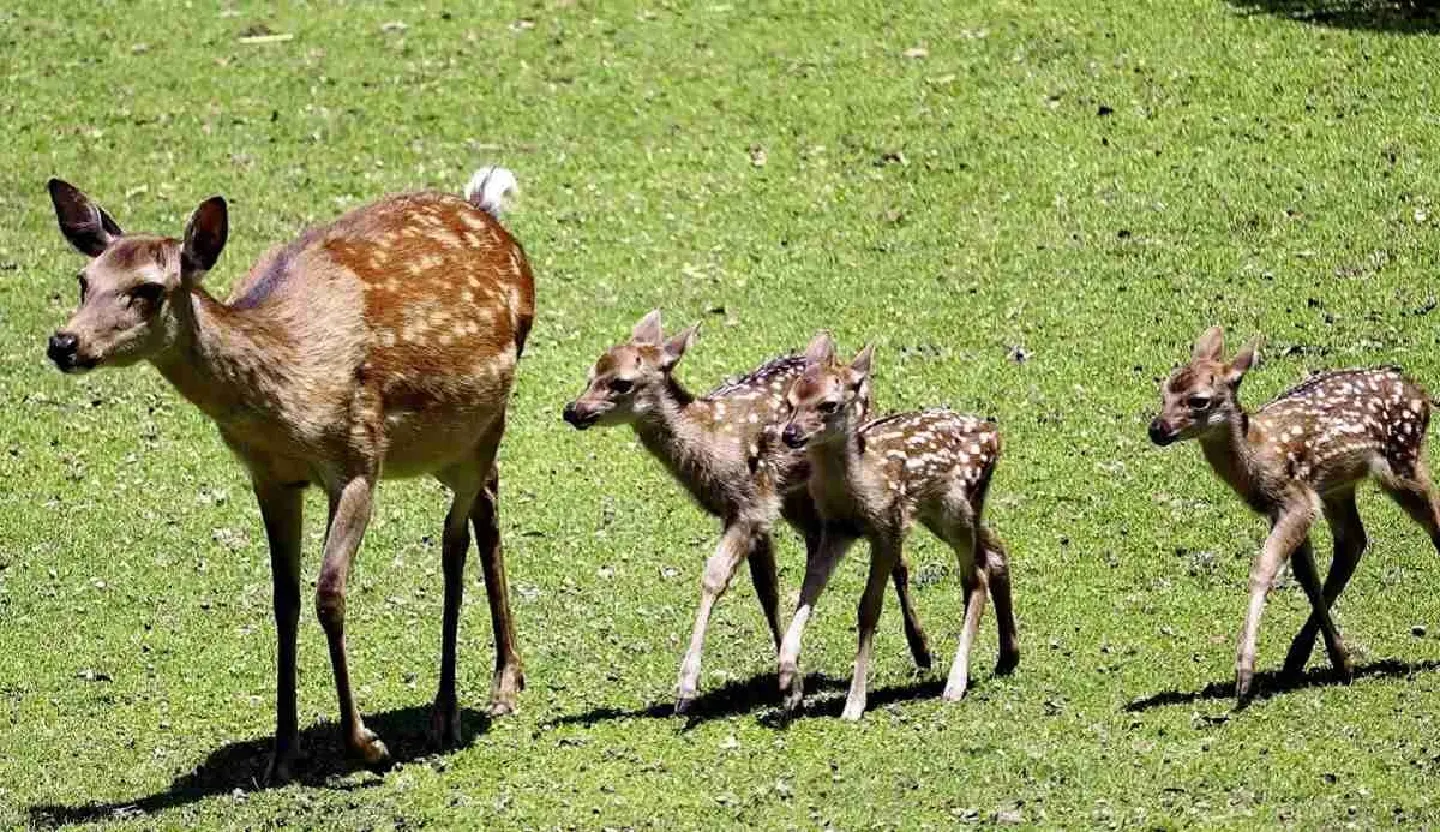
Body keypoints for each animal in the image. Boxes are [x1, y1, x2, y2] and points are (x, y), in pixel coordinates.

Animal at [43, 167, 533, 783]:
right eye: (84, 280)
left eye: (149, 289)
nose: (64, 343)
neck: (289, 394)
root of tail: (490, 215)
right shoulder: (270, 477)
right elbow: (284, 600)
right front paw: (282, 751)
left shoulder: (358, 462)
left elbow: (329, 593)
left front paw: (365, 743)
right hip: (449, 447)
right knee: (487, 502)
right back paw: (504, 681)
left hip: (488, 420)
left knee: (454, 541)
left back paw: (457, 709)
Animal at [561, 311, 934, 713]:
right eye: (590, 373)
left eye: (621, 382)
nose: (573, 410)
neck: (711, 441)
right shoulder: (751, 510)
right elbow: (766, 588)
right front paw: (790, 683)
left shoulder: (752, 506)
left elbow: (713, 578)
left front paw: (686, 689)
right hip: (799, 497)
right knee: (818, 545)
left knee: (897, 558)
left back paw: (922, 650)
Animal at [775, 333, 1020, 720]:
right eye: (790, 401)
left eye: (829, 404)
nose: (790, 433)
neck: (858, 485)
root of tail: (995, 434)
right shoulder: (837, 529)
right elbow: (807, 592)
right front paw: (786, 672)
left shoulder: (887, 526)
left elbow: (869, 608)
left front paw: (854, 703)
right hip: (947, 512)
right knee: (994, 551)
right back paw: (1008, 656)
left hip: (956, 506)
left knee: (975, 577)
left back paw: (956, 683)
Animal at [1149, 326, 1440, 706]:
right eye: (1165, 391)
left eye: (1199, 400)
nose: (1156, 428)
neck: (1256, 458)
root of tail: (1421, 395)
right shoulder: (1288, 506)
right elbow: (1305, 574)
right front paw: (1331, 659)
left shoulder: (1297, 500)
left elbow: (1264, 567)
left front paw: (1244, 677)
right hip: (1339, 486)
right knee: (1353, 542)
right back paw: (1317, 658)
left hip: (1401, 461)